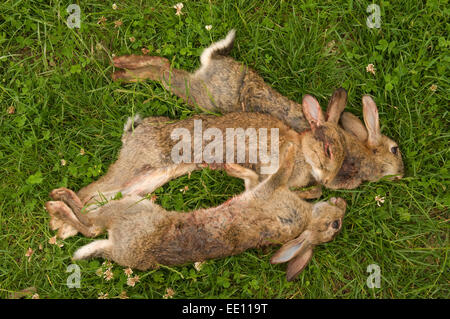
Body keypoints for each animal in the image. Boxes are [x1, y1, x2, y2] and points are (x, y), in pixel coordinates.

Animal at [45, 144, 346, 282]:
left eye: (335, 225)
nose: (341, 206)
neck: (307, 219)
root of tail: (117, 250)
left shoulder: (271, 194)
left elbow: (280, 172)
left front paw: (292, 150)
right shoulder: (258, 189)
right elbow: (252, 178)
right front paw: (230, 167)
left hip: (131, 209)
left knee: (90, 224)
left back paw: (57, 200)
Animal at [111, 28, 404, 190]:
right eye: (395, 149)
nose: (402, 173)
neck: (365, 151)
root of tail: (218, 60)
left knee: (164, 67)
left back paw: (120, 68)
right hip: (200, 94)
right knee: (163, 69)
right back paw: (121, 68)